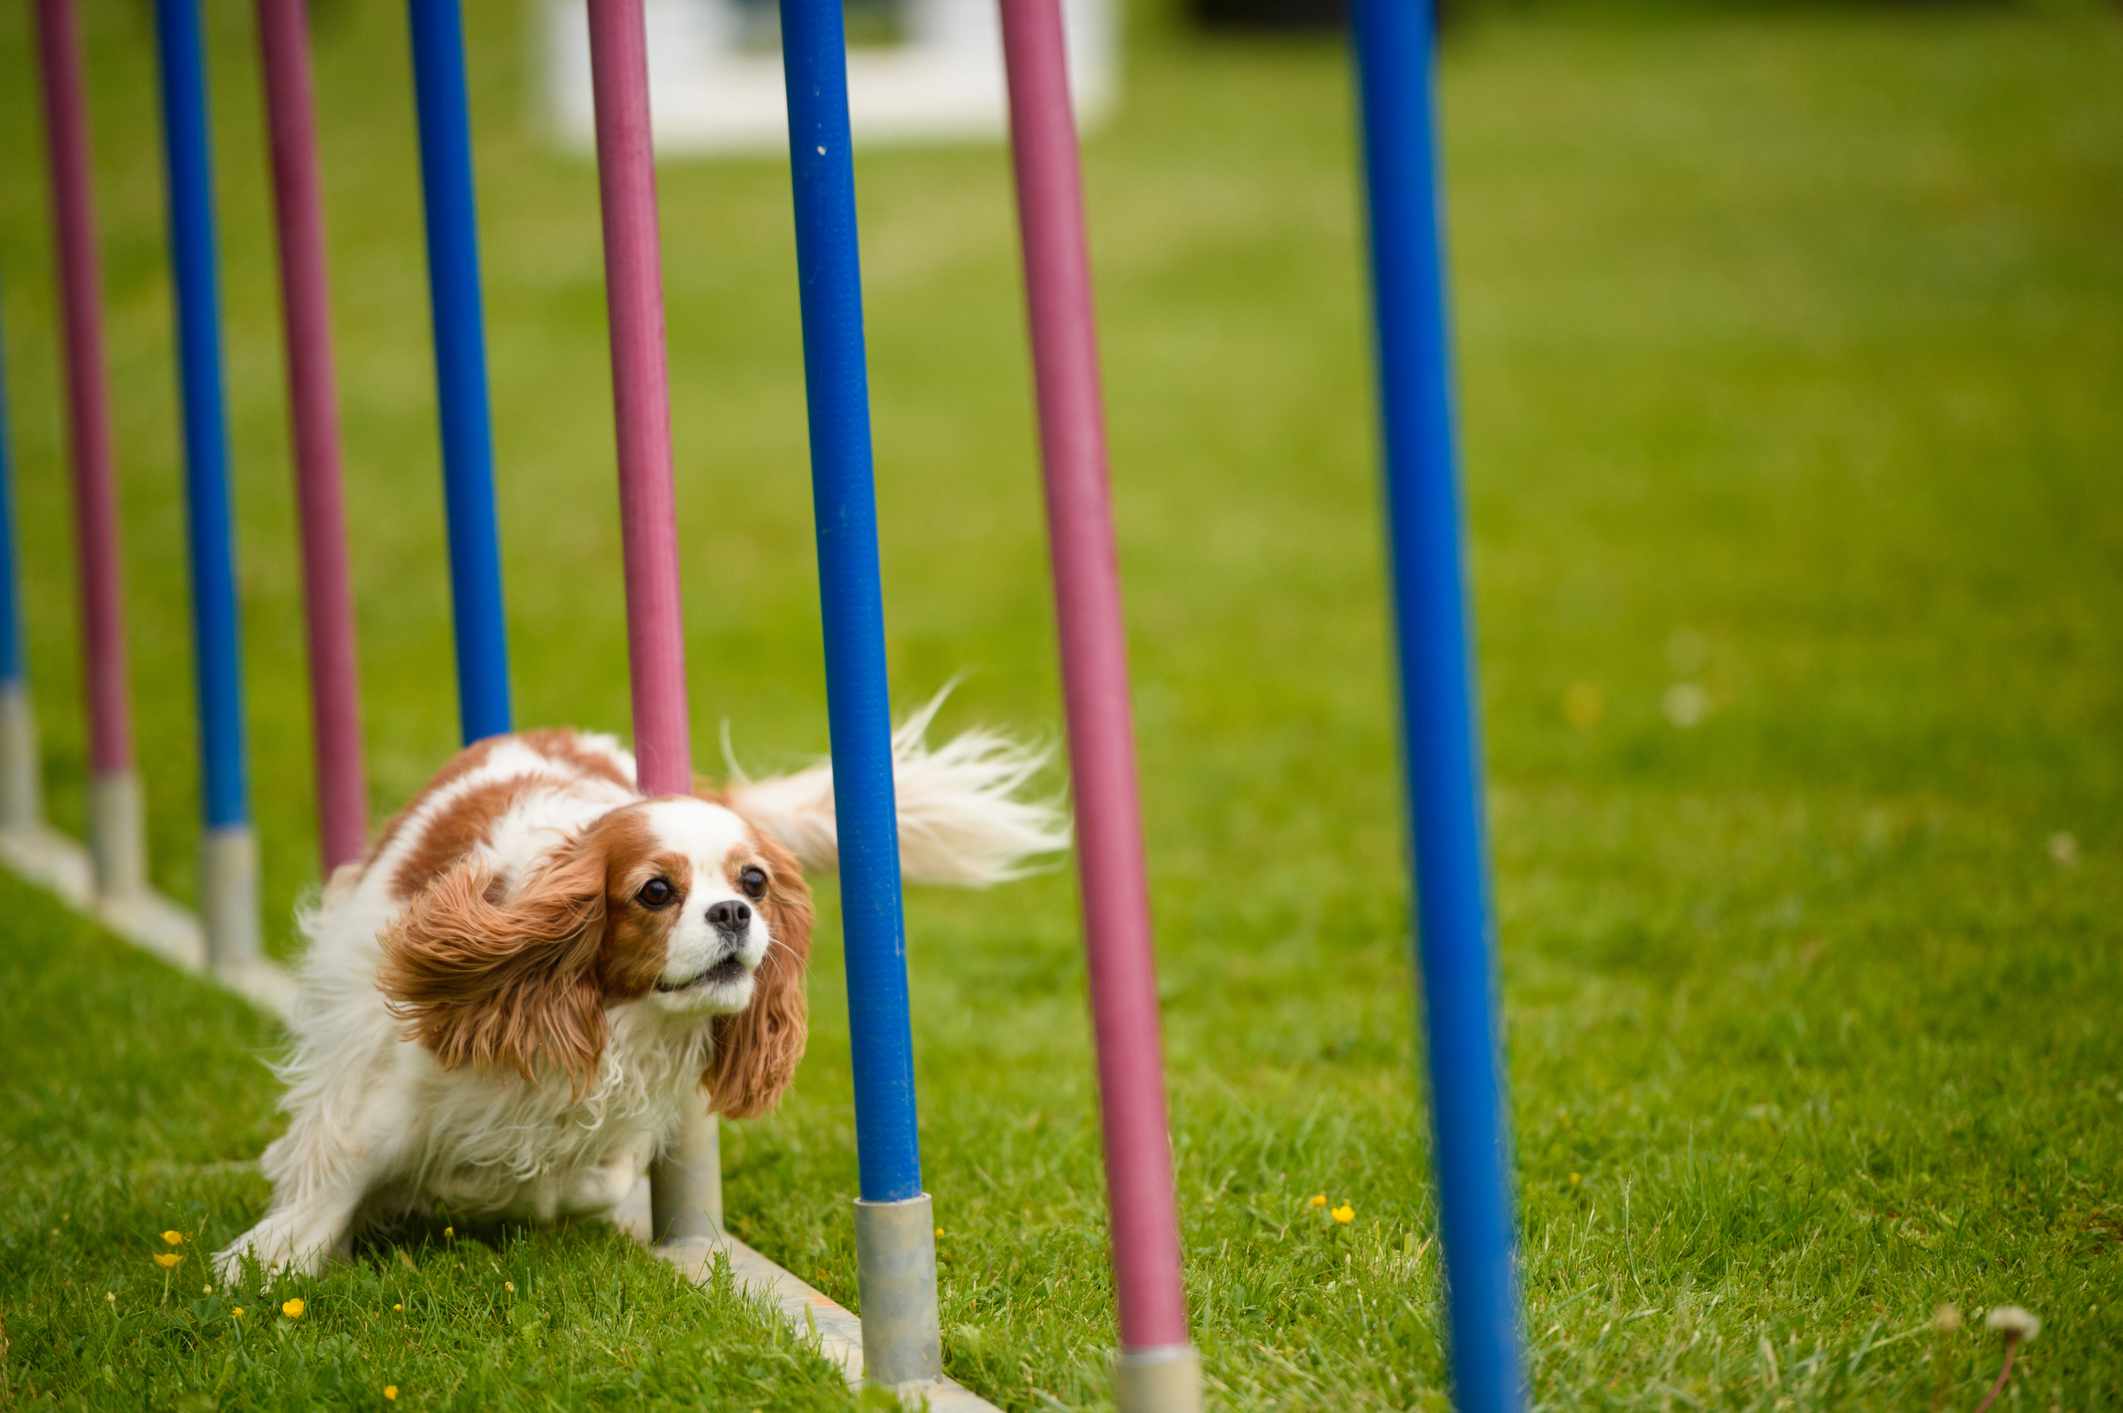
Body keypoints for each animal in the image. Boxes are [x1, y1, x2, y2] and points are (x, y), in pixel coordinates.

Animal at [215, 691, 1061, 1272]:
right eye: (656, 890)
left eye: (754, 881)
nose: (732, 912)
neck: (615, 1017)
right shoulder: (403, 1067)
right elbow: (344, 1155)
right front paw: (267, 1261)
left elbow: (575, 1179)